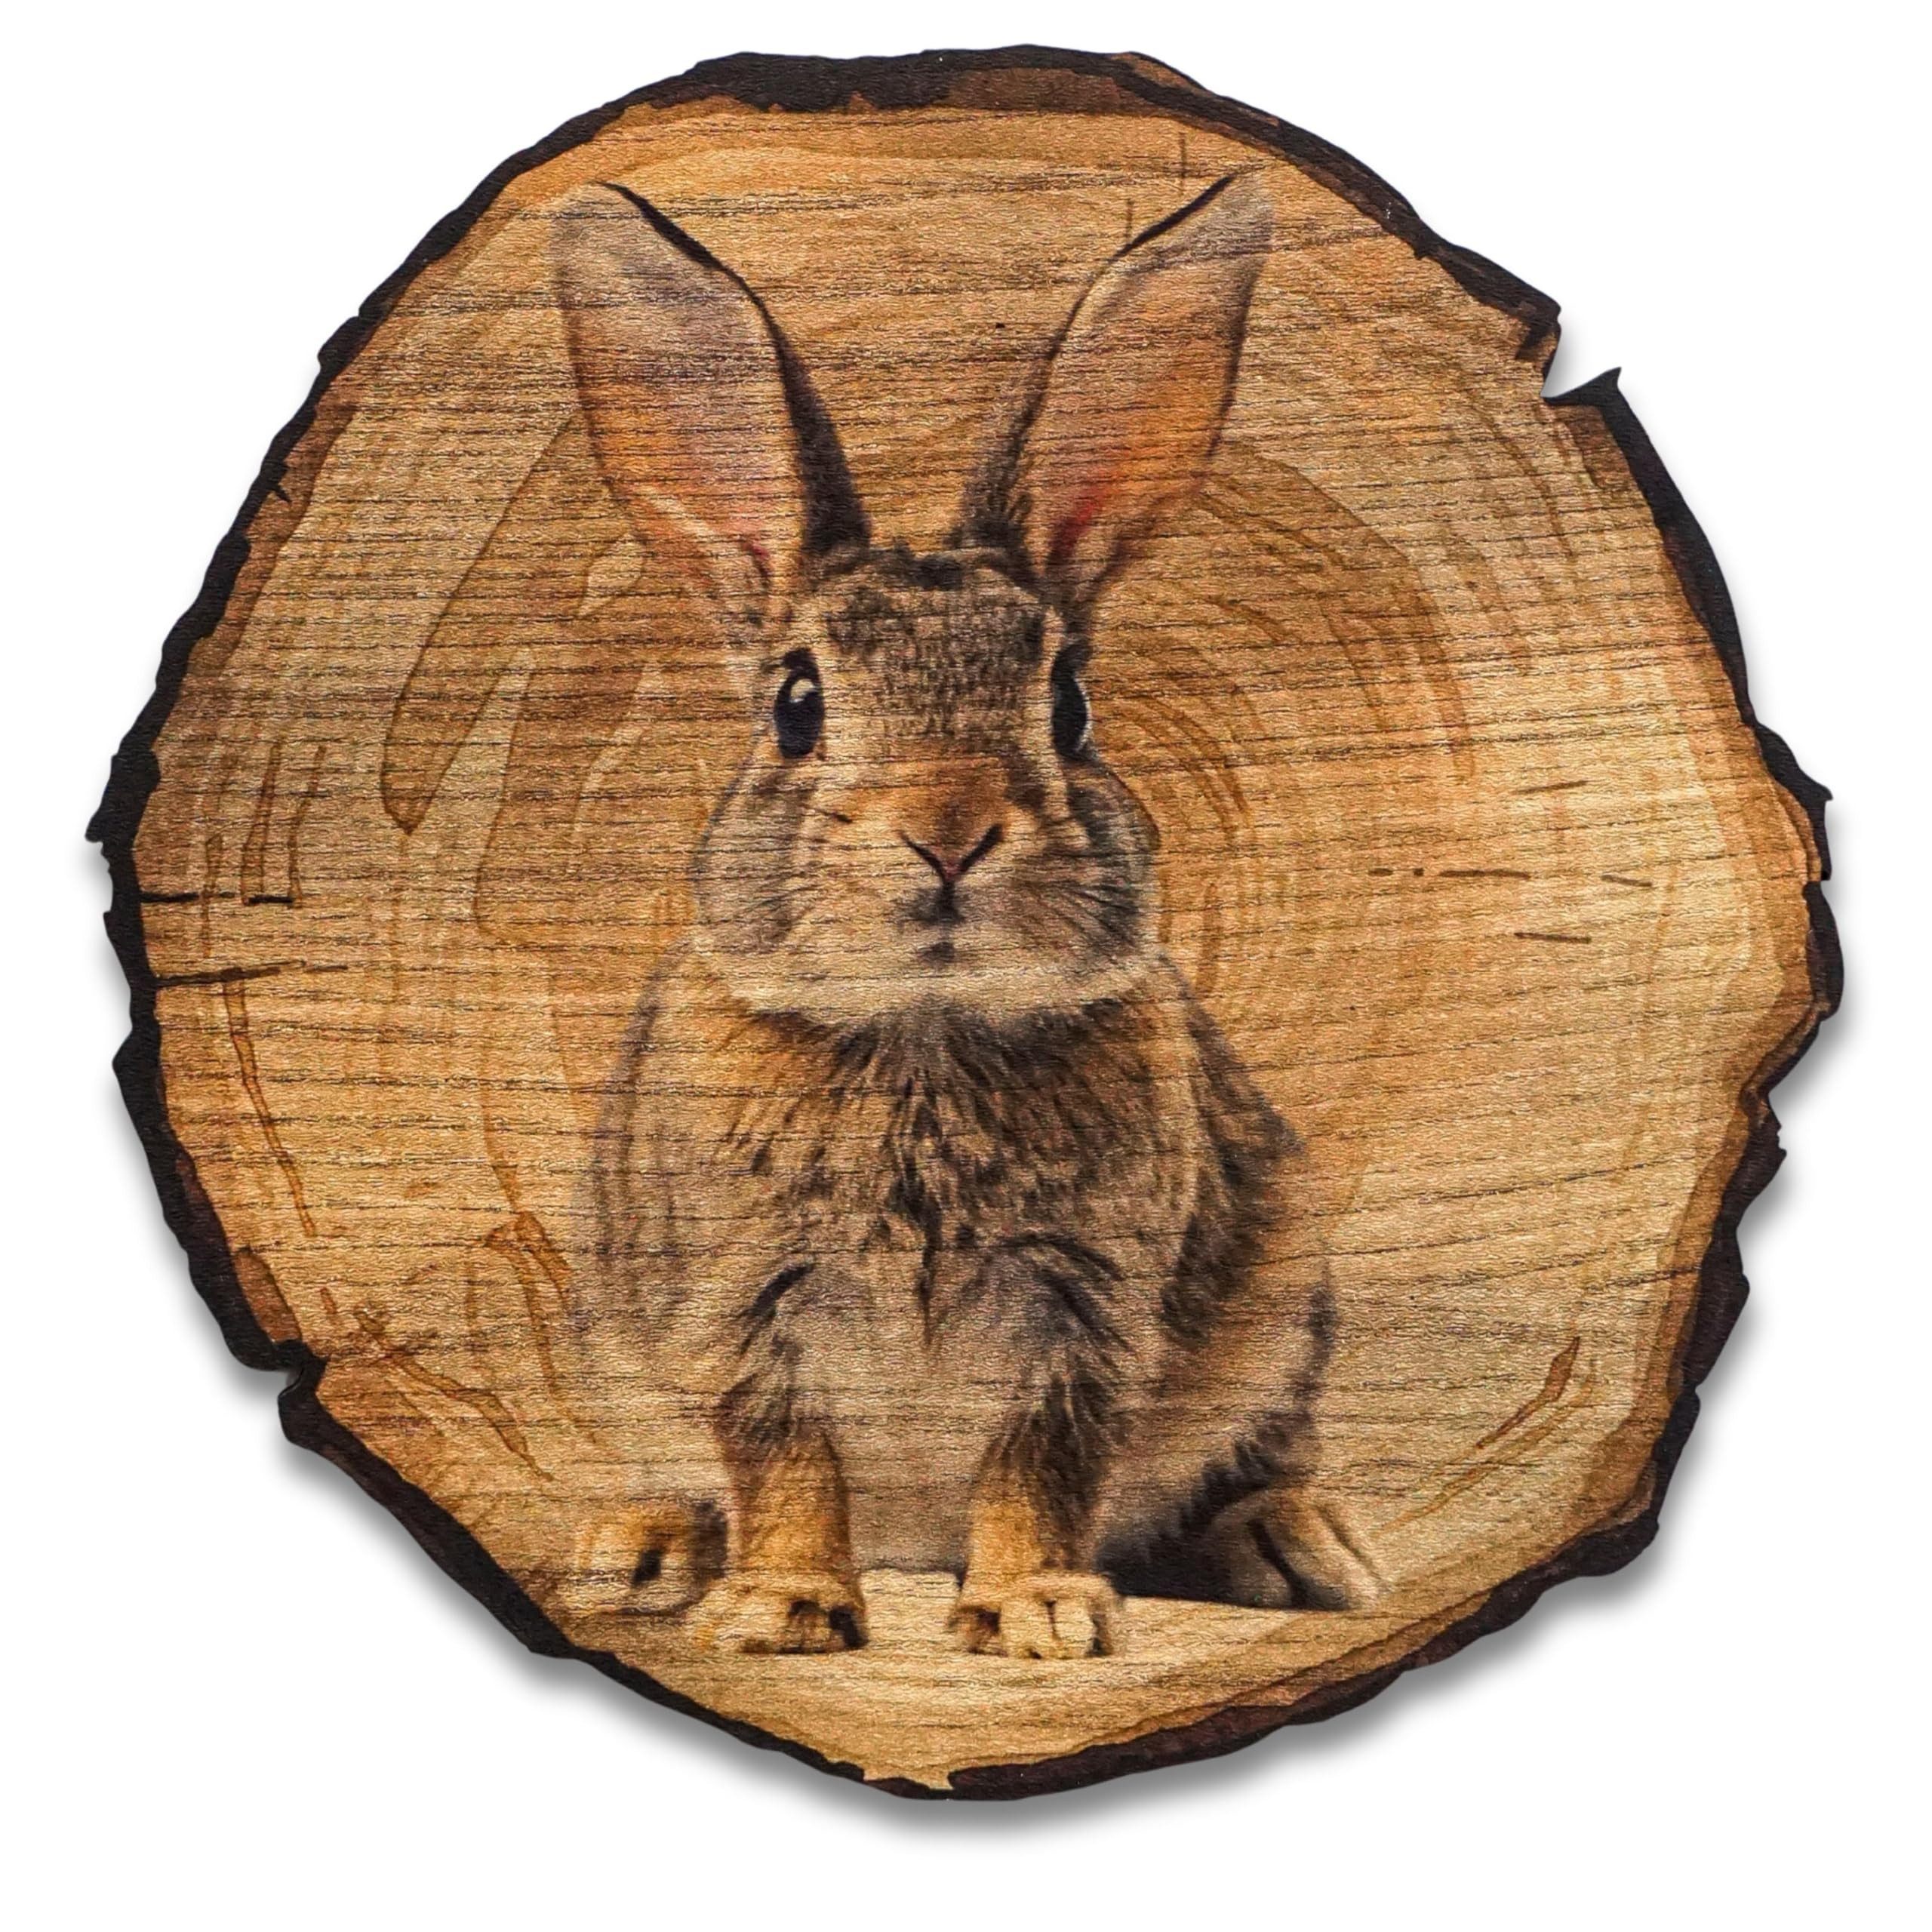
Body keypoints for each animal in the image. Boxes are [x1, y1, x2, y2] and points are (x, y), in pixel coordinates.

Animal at [552, 174, 1382, 1657]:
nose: (947, 829)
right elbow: (782, 1461)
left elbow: (1041, 1465)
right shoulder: (746, 1305)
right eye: (798, 704)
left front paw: (1039, 1613)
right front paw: (780, 1607)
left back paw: (1297, 1543)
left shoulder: (1081, 1310)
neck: (923, 1028)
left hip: (1282, 1294)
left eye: (1071, 704)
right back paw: (639, 1548)